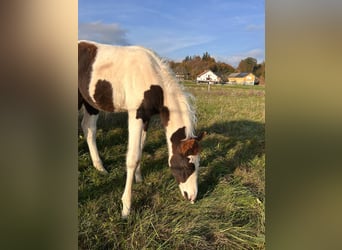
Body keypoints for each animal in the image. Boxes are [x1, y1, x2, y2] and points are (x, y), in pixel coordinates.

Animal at [79, 40, 204, 218]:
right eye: (188, 166)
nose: (192, 197)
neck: (152, 79)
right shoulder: (135, 115)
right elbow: (132, 157)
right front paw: (126, 207)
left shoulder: (146, 117)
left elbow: (141, 148)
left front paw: (139, 178)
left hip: (91, 103)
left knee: (88, 129)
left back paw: (100, 167)